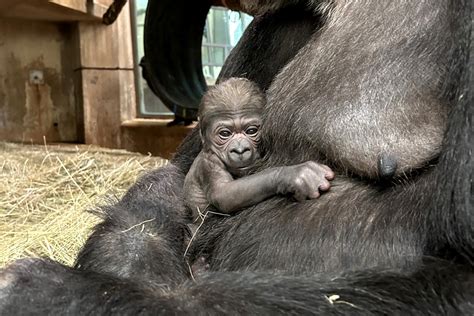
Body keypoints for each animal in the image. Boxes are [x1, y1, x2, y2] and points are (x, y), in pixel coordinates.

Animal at [181, 78, 334, 221]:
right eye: (225, 134)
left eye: (251, 131)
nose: (240, 149)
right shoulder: (209, 163)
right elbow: (223, 193)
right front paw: (291, 174)